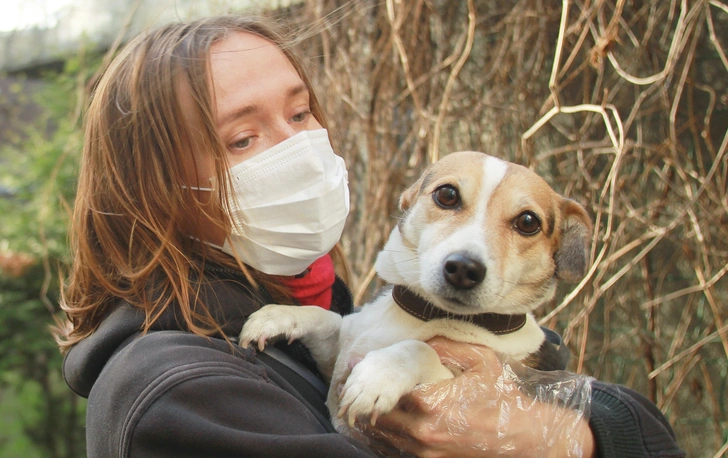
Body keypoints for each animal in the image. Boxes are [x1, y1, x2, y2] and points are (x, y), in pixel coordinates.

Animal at [242, 151, 596, 432]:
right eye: (448, 195)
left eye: (528, 222)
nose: (464, 269)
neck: (422, 313)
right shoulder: (337, 355)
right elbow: (323, 317)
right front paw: (276, 317)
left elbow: (419, 349)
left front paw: (378, 375)